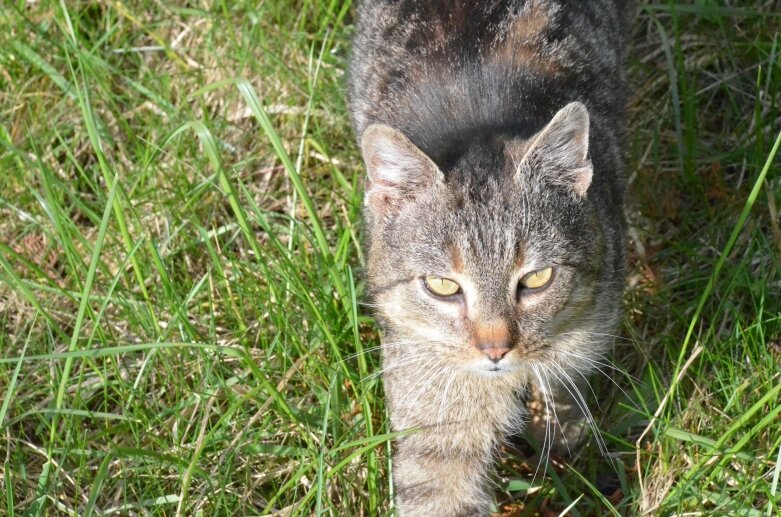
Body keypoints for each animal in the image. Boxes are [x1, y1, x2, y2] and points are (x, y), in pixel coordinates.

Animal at [348, 2, 632, 512]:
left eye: (536, 279)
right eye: (442, 286)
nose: (495, 349)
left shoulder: (592, 325)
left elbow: (565, 386)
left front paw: (561, 435)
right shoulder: (433, 412)